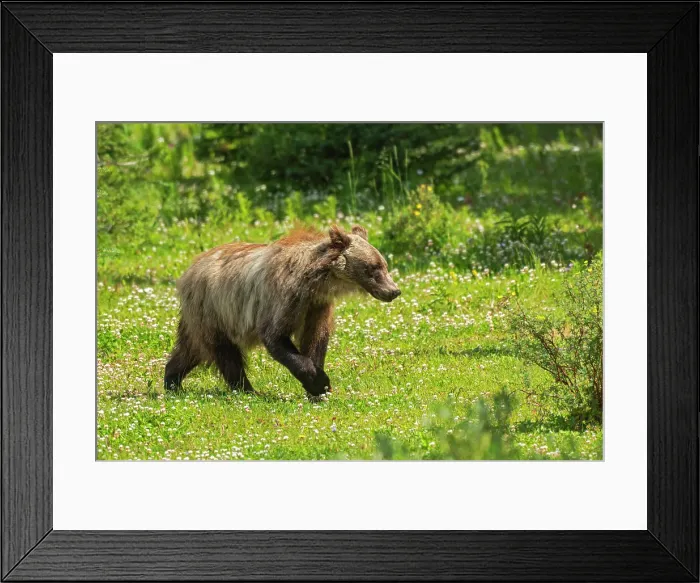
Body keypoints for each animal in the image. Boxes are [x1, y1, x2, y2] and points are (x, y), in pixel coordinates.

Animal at [164, 224, 400, 398]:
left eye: (384, 265)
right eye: (373, 268)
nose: (394, 290)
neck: (316, 281)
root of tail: (189, 271)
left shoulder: (317, 305)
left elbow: (315, 338)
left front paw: (317, 387)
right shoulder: (284, 297)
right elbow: (275, 336)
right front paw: (319, 382)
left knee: (190, 350)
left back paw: (172, 380)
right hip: (215, 310)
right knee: (226, 353)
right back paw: (247, 390)